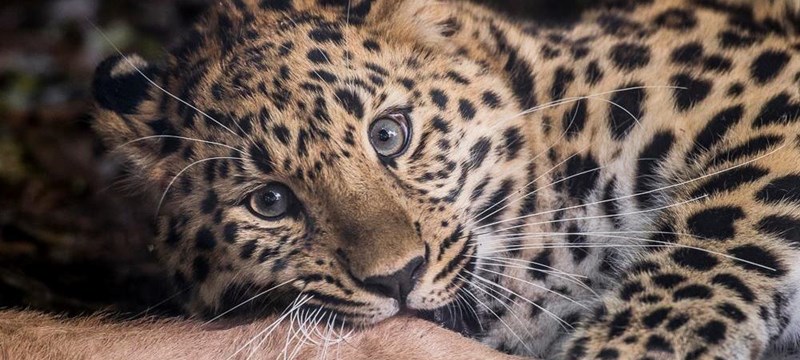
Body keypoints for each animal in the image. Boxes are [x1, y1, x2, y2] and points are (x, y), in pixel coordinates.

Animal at [45, 0, 800, 358]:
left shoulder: (765, 88)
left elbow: (719, 227)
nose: (397, 278)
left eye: (389, 134)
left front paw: (638, 346)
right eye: (270, 201)